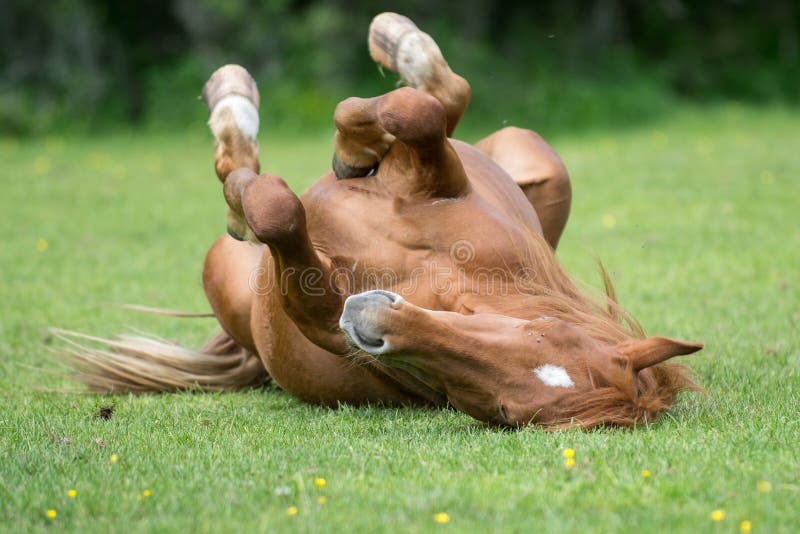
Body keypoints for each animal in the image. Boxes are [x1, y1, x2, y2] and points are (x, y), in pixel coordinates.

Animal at [57, 13, 700, 432]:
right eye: (539, 332)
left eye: (503, 412)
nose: (371, 321)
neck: (438, 279)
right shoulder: (444, 174)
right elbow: (413, 112)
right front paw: (358, 146)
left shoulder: (320, 314)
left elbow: (277, 213)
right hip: (531, 153)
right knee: (444, 101)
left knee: (245, 196)